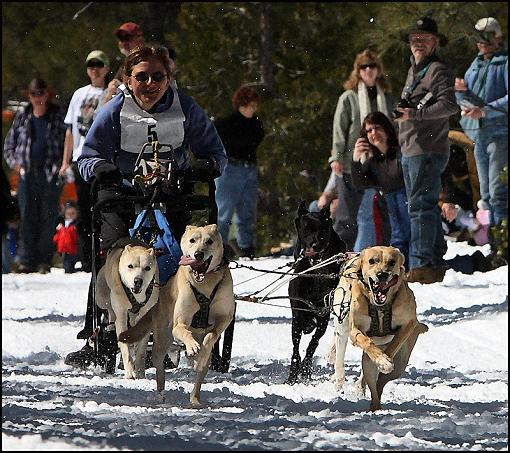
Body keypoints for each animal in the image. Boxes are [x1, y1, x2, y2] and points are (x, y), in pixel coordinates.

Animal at [94, 240, 158, 378]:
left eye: (147, 268)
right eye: (130, 266)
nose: (138, 281)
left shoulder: (145, 317)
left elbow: (140, 351)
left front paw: (139, 373)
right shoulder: (121, 315)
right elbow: (125, 349)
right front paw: (129, 373)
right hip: (101, 298)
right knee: (109, 312)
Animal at [118, 223, 235, 406]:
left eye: (209, 241)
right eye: (192, 240)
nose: (198, 254)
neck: (205, 284)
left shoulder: (225, 318)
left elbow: (212, 335)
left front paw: (200, 351)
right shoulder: (180, 323)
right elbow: (184, 330)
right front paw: (192, 346)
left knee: (201, 372)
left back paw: (195, 397)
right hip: (161, 343)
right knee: (159, 369)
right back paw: (160, 394)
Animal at [286, 200, 346, 382]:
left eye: (323, 231)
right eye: (306, 229)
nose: (316, 244)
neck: (315, 270)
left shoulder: (323, 318)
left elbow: (313, 344)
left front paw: (305, 369)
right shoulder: (297, 317)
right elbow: (296, 347)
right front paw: (293, 373)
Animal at [324, 245, 428, 412]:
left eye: (392, 262)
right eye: (372, 261)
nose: (382, 274)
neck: (380, 307)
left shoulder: (409, 323)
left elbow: (393, 345)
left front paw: (384, 360)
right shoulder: (354, 329)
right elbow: (365, 341)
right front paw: (382, 360)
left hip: (399, 365)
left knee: (378, 383)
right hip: (344, 326)